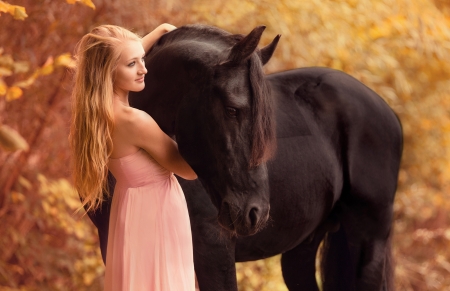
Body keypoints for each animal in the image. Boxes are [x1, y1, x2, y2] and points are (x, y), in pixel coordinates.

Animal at [86, 24, 402, 290]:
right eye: (232, 110)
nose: (255, 213)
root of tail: (389, 111)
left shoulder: (213, 247)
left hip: (368, 243)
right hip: (302, 249)